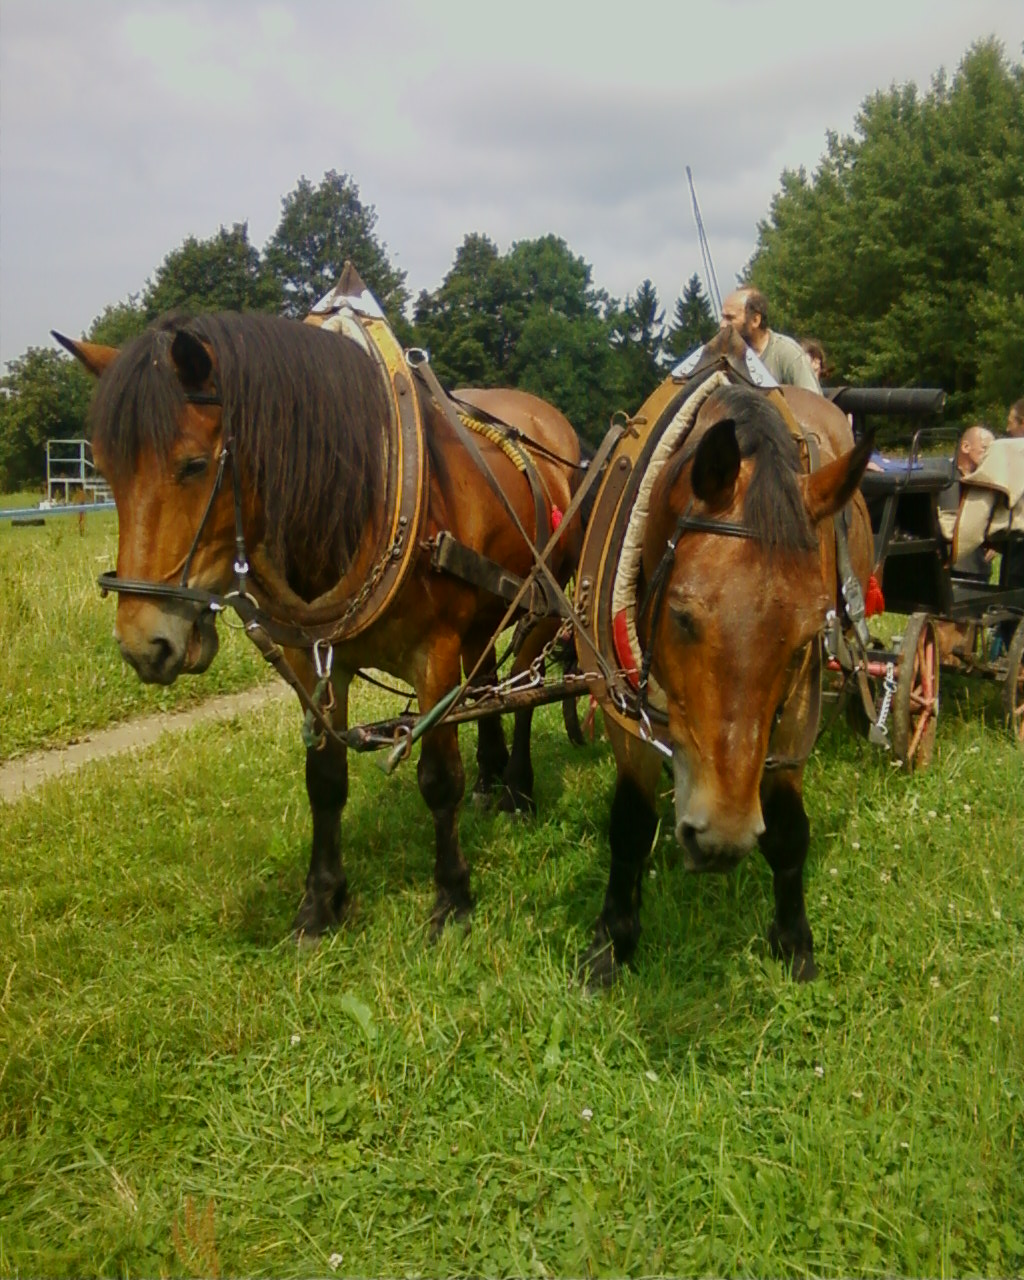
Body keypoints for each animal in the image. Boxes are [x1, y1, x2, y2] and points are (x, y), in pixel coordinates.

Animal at [60, 311, 581, 942]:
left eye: (193, 465)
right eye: (106, 473)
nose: (143, 644)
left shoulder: (434, 652)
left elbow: (437, 777)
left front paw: (452, 898)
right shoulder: (318, 661)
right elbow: (325, 779)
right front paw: (320, 903)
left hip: (544, 606)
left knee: (526, 694)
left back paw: (518, 790)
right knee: (484, 689)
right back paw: (490, 778)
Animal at [576, 373, 870, 983]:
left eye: (806, 636)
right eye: (682, 617)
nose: (722, 838)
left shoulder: (798, 707)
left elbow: (788, 828)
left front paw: (794, 940)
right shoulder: (623, 708)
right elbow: (630, 823)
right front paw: (612, 940)